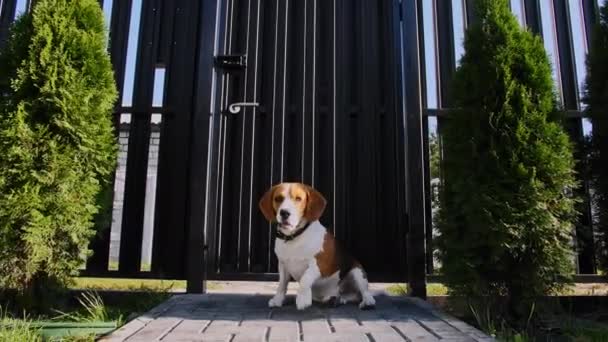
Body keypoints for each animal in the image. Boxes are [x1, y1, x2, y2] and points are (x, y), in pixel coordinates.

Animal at [258, 182, 376, 310]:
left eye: (298, 199)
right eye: (278, 198)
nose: (284, 213)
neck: (295, 238)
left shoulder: (320, 265)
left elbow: (305, 278)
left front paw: (303, 299)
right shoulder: (283, 266)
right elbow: (281, 285)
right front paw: (277, 300)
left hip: (357, 271)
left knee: (365, 292)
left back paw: (367, 302)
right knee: (348, 297)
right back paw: (338, 299)